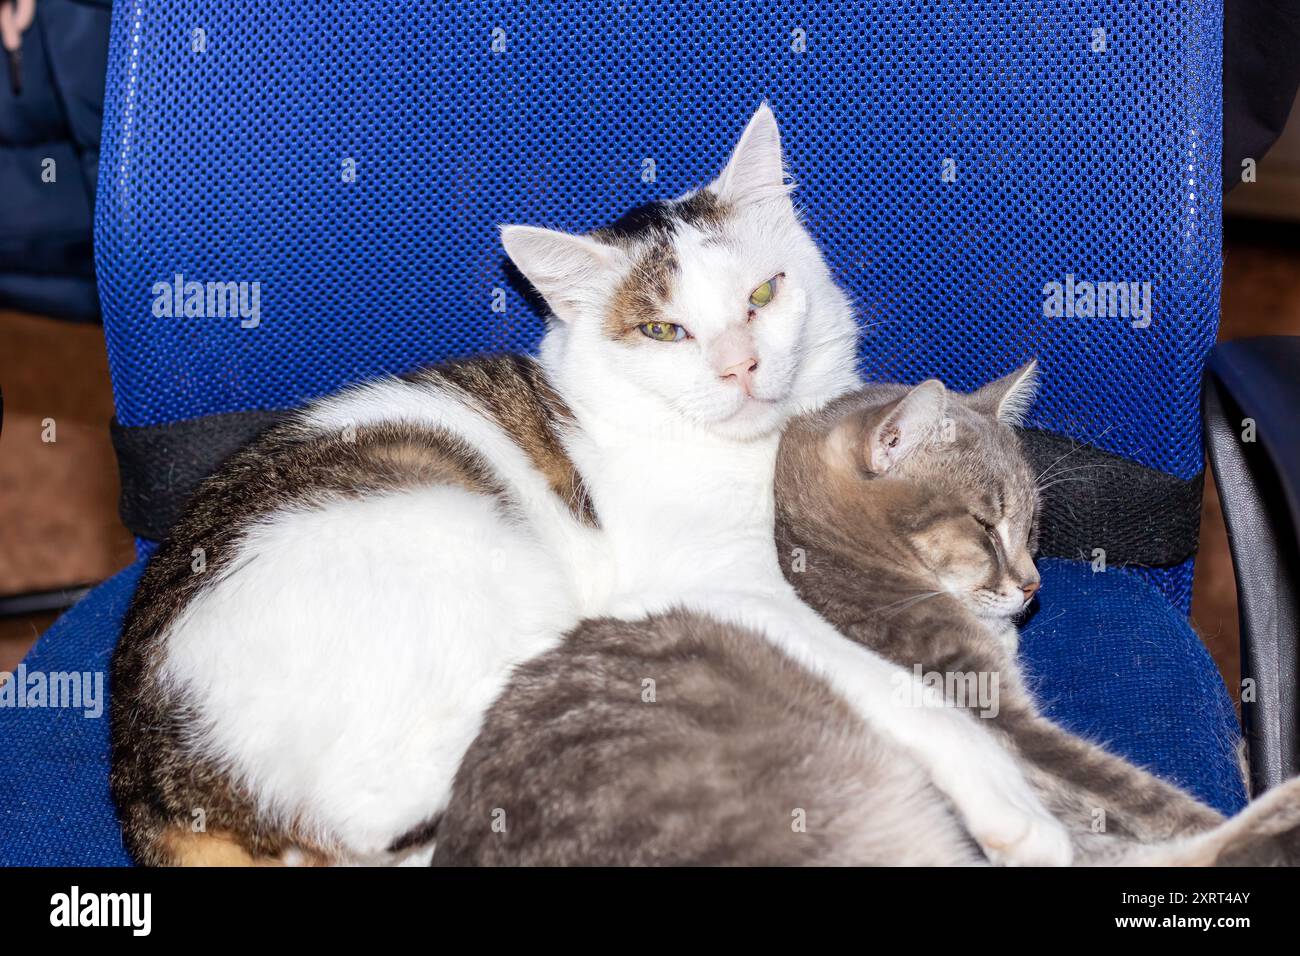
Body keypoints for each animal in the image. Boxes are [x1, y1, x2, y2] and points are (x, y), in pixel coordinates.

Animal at [109, 104, 1066, 868]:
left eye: (762, 294)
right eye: (664, 331)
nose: (741, 364)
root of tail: (154, 773)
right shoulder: (727, 584)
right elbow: (889, 680)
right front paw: (1011, 800)